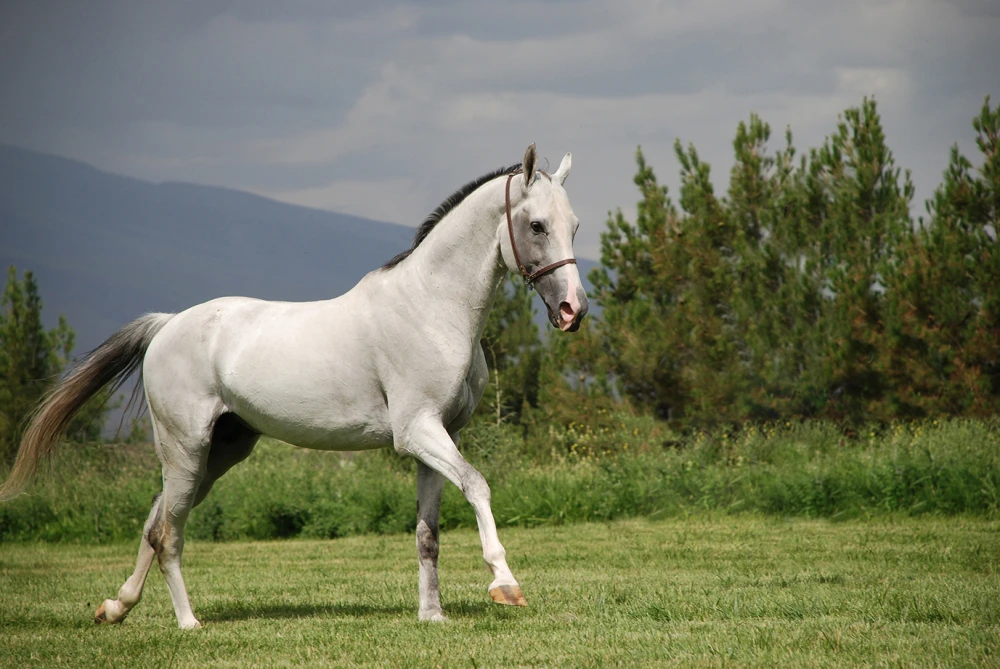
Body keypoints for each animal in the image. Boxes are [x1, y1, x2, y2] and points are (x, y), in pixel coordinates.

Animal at [0, 144, 588, 628]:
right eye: (537, 225)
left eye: (575, 225)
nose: (572, 311)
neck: (430, 307)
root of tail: (166, 326)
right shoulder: (418, 432)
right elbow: (479, 486)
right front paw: (505, 585)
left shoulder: (440, 439)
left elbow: (429, 534)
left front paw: (432, 616)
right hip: (185, 449)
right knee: (169, 533)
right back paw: (189, 624)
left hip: (219, 452)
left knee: (154, 522)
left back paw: (116, 607)